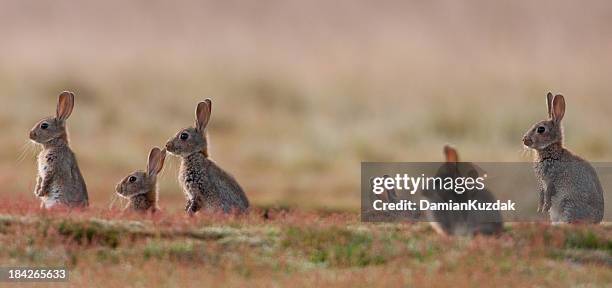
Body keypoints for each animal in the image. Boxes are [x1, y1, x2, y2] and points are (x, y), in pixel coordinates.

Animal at [524, 92, 604, 223]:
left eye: (541, 129)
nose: (524, 140)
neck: (551, 150)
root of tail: (596, 221)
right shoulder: (542, 182)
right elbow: (541, 194)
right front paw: (540, 209)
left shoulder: (551, 179)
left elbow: (548, 193)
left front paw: (544, 208)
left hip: (569, 205)